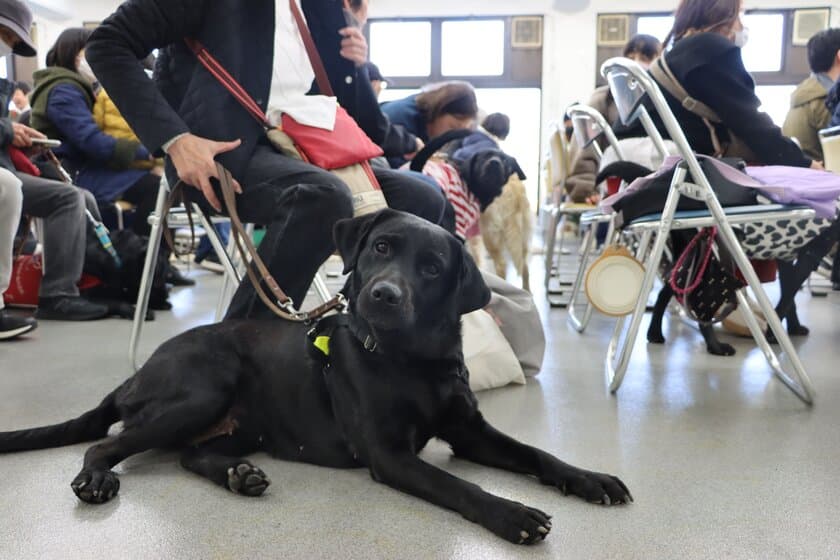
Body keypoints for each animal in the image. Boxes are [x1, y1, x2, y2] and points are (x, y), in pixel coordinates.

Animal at [0, 209, 632, 544]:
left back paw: (238, 475)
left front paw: (590, 479)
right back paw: (96, 478)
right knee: (109, 444)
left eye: (432, 268)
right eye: (381, 247)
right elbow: (460, 486)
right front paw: (512, 513)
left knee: (189, 455)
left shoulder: (470, 432)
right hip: (205, 387)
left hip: (238, 424)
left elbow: (537, 454)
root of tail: (138, 374)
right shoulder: (388, 455)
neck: (411, 361)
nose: (382, 295)